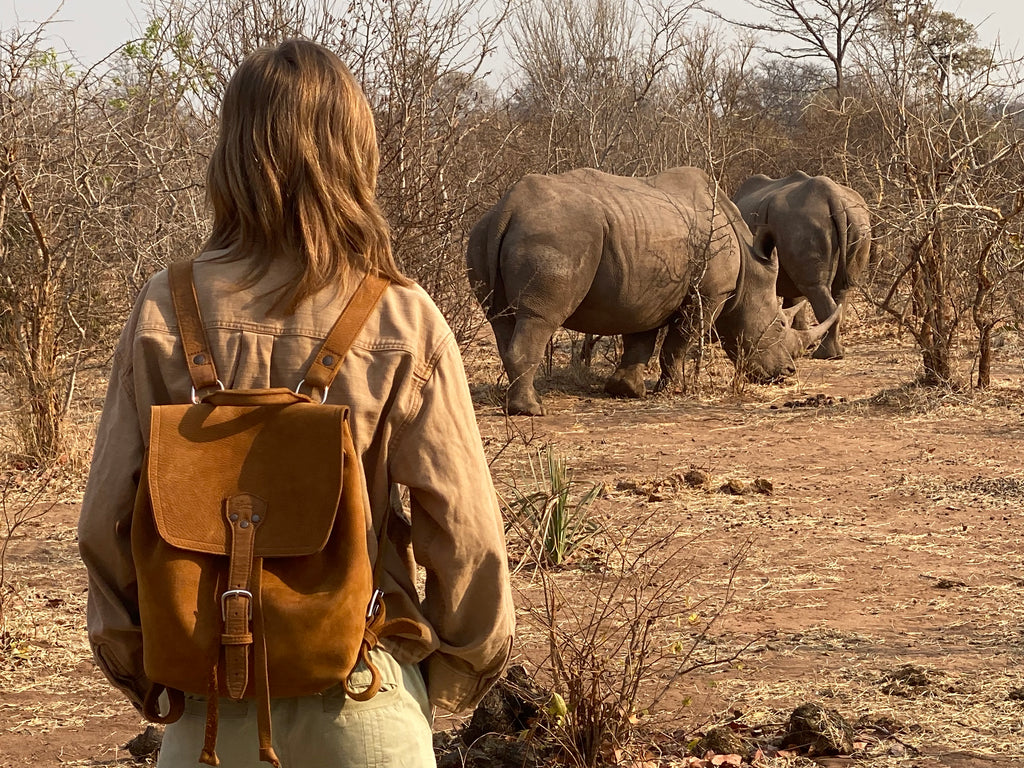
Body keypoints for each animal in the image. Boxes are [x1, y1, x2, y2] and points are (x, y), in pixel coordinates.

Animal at [466, 167, 840, 415]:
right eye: (777, 326)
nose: (787, 373)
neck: (750, 267)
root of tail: (508, 208)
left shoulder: (644, 290)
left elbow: (640, 337)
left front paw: (627, 390)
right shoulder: (711, 295)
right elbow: (680, 340)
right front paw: (673, 389)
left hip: (482, 235)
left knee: (500, 318)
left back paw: (518, 404)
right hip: (557, 237)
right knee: (539, 318)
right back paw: (532, 410)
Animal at [731, 171, 871, 360]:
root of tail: (833, 195)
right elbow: (797, 301)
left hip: (803, 222)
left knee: (814, 287)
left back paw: (824, 355)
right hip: (857, 219)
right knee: (841, 288)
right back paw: (835, 353)